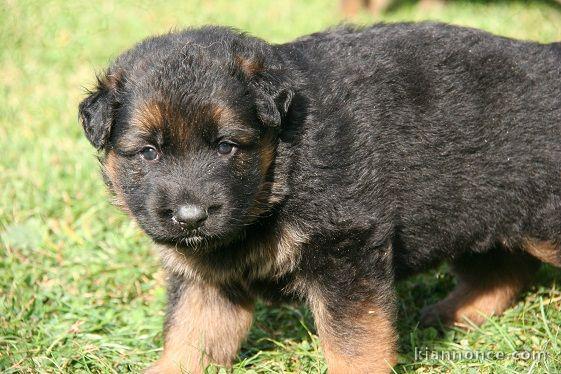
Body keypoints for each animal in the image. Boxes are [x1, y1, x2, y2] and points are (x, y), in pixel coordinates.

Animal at [77, 21, 560, 372]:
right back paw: (453, 314)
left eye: (226, 146)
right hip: (471, 209)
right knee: (505, 270)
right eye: (149, 152)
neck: (283, 168)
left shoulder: (346, 250)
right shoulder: (206, 279)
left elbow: (354, 343)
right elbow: (189, 337)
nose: (191, 216)